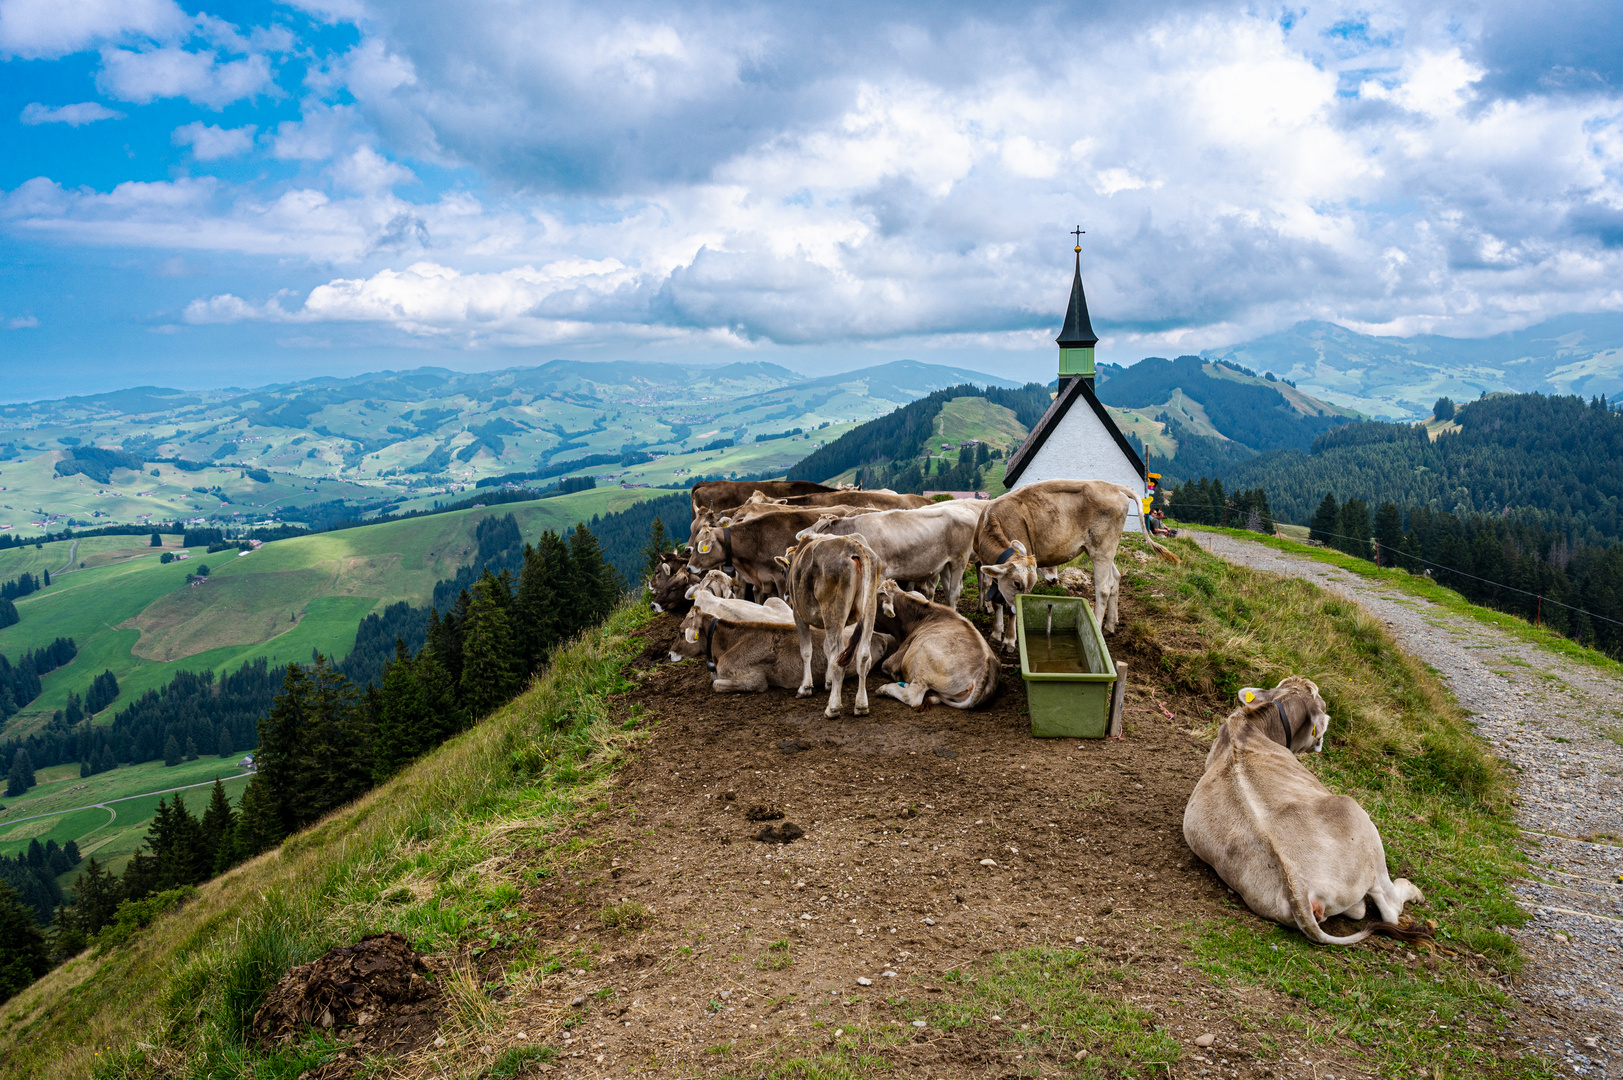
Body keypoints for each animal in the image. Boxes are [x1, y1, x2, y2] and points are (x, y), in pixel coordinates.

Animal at [779, 532, 882, 714]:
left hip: (833, 611)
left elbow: (806, 651)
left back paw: (833, 707)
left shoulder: (798, 615)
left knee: (837, 657)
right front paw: (828, 682)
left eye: (783, 570)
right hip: (869, 609)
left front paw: (805, 687)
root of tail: (854, 546)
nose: (785, 594)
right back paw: (861, 705)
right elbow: (826, 647)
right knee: (863, 655)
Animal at [792, 500, 980, 610]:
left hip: (959, 561)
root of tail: (968, 512)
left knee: (955, 592)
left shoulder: (879, 574)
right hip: (945, 565)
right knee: (949, 591)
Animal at [967, 477, 1175, 643]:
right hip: (1101, 550)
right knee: (1115, 578)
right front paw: (996, 632)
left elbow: (1006, 605)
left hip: (1102, 548)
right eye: (1017, 583)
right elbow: (996, 599)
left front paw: (1009, 639)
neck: (991, 518)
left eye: (1030, 583)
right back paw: (1110, 625)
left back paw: (1098, 627)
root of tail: (1113, 486)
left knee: (1104, 588)